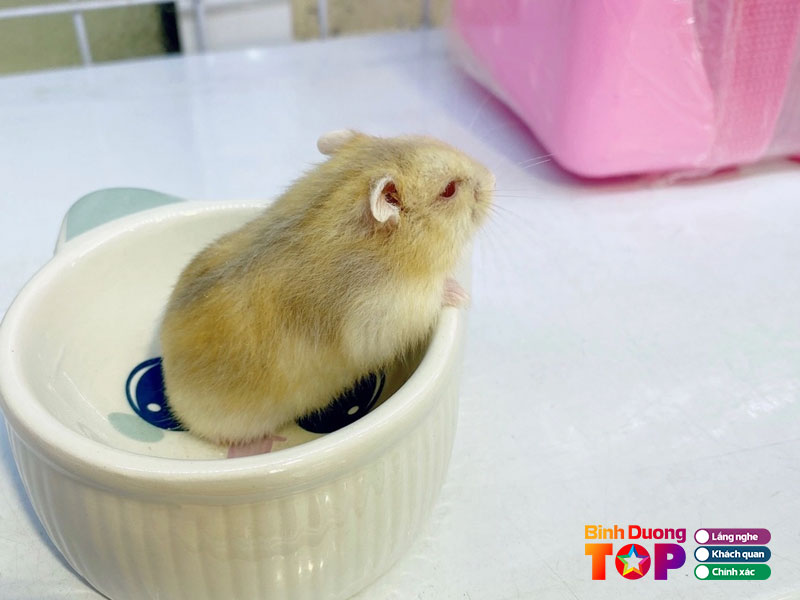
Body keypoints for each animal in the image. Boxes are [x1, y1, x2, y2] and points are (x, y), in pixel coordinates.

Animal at [160, 130, 494, 446]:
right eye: (449, 190)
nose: (493, 177)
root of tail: (169, 380)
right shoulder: (382, 313)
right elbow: (429, 297)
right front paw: (461, 293)